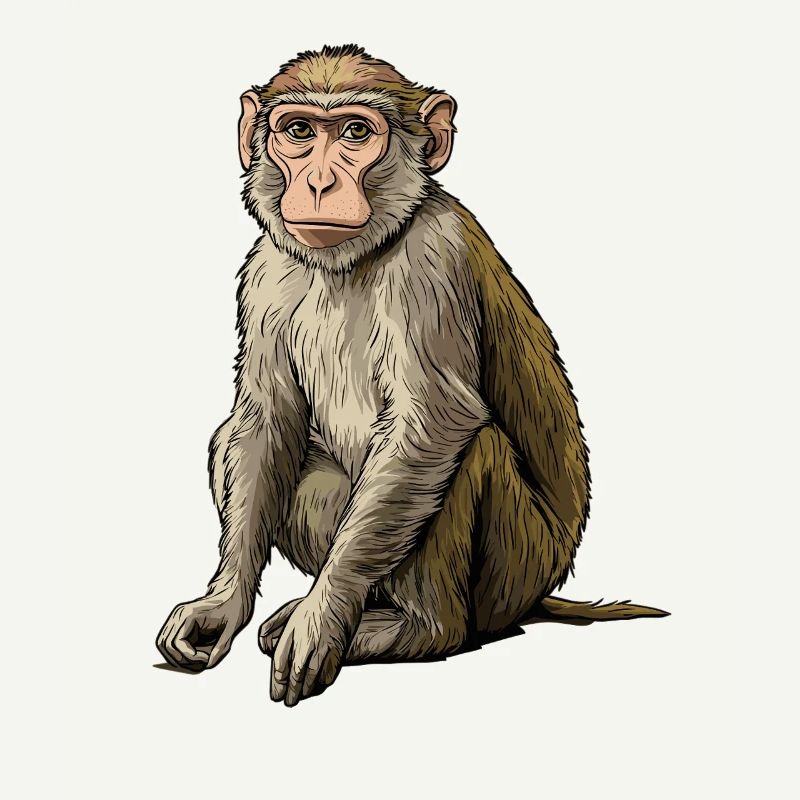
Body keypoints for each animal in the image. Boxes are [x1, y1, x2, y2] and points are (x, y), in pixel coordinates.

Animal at [156, 45, 667, 706]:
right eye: (299, 132)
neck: (356, 255)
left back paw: (416, 629)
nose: (317, 182)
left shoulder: (434, 260)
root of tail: (539, 590)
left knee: (471, 449)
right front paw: (221, 606)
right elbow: (262, 422)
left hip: (513, 569)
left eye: (355, 133)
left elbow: (432, 426)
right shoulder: (266, 269)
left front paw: (322, 619)